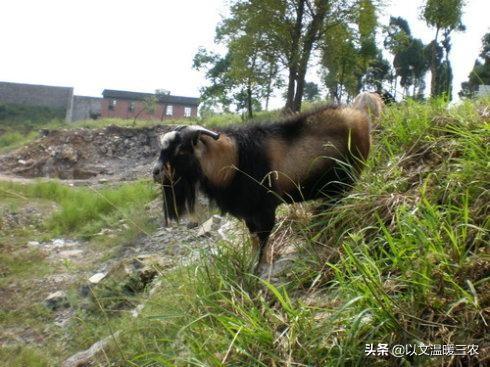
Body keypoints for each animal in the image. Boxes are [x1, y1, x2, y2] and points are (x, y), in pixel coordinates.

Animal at [152, 102, 372, 272]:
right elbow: (254, 240)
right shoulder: (248, 214)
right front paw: (252, 262)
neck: (234, 161)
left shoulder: (265, 210)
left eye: (181, 150)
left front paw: (259, 266)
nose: (156, 172)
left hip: (347, 178)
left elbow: (263, 238)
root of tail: (359, 116)